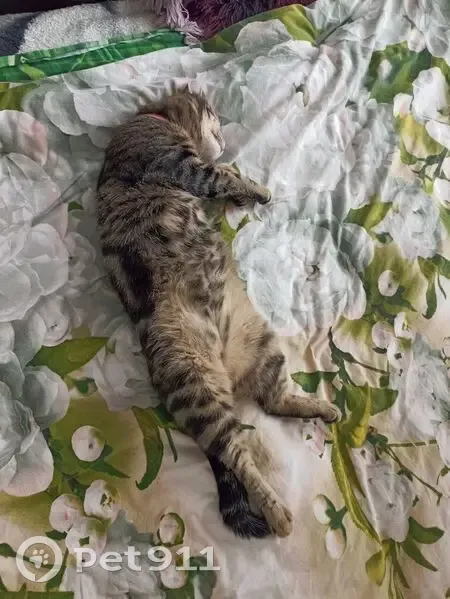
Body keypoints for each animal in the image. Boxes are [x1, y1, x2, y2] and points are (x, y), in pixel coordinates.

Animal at [96, 89, 341, 539]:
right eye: (214, 116)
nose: (226, 139)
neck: (154, 117)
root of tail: (226, 364)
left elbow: (227, 177)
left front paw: (245, 192)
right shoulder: (181, 165)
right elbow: (224, 175)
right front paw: (255, 188)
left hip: (263, 343)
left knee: (274, 402)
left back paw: (319, 408)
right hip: (198, 389)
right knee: (237, 457)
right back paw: (278, 514)